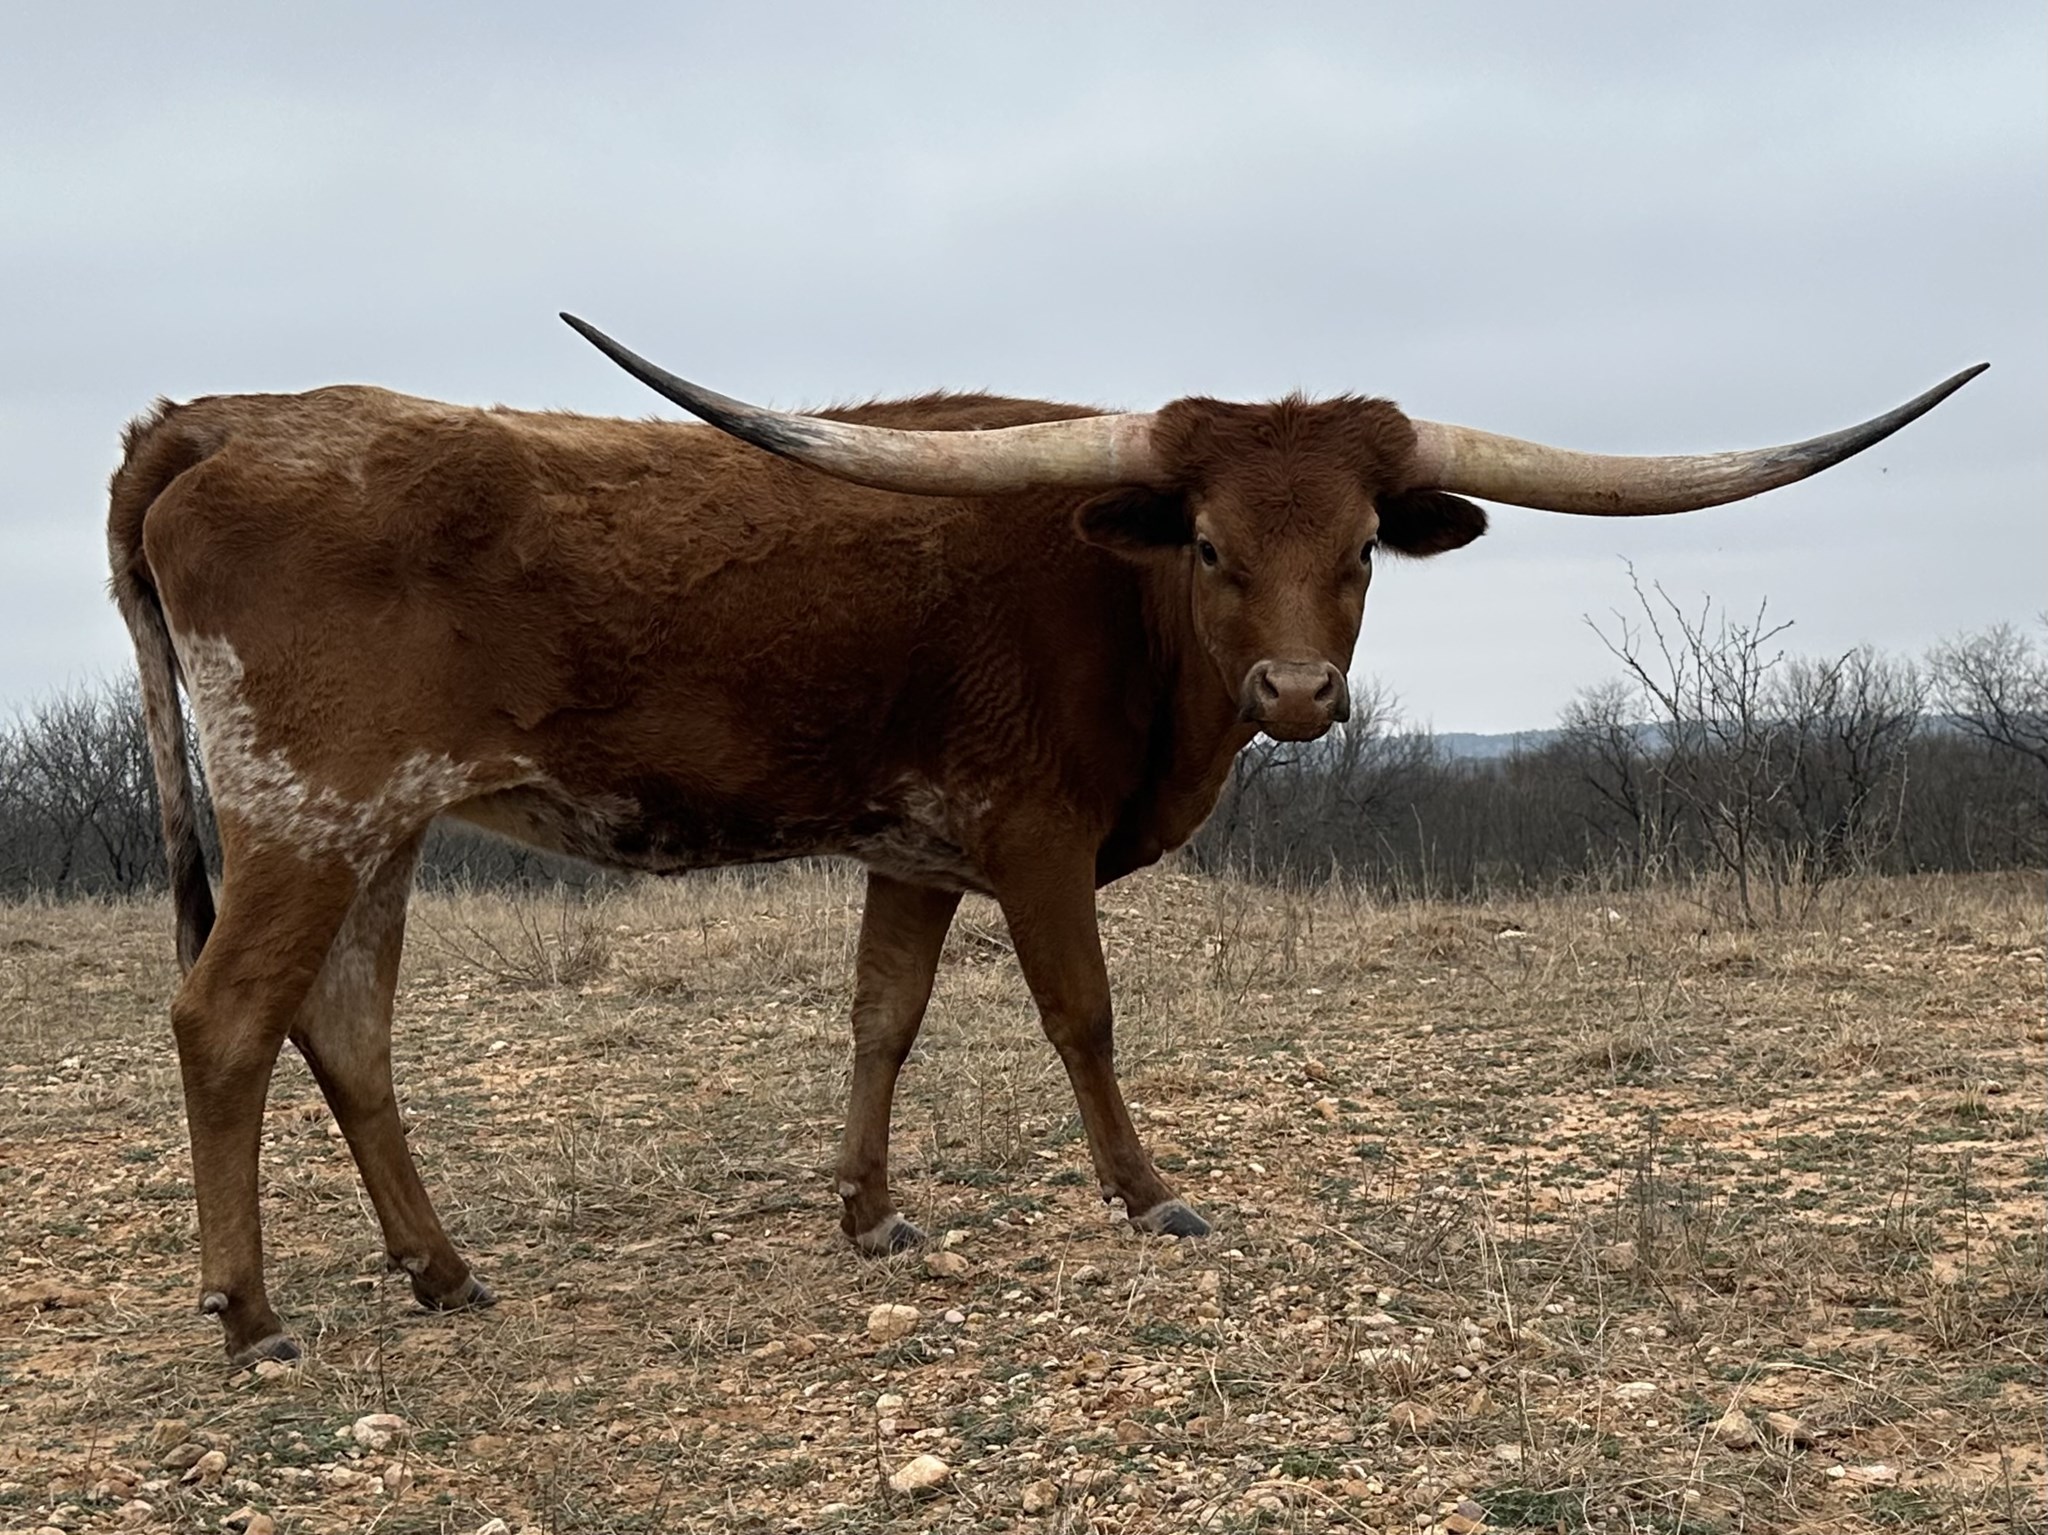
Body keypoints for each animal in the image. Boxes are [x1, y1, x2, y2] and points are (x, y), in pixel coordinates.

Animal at [107, 317, 1982, 1365]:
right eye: (1211, 544)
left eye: (1361, 550)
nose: (1298, 692)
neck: (1120, 602)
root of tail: (217, 416)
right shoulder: (1031, 836)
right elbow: (1081, 1014)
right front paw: (1146, 1195)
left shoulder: (913, 851)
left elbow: (881, 1017)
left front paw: (867, 1215)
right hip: (306, 809)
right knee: (225, 1016)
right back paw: (253, 1317)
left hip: (381, 829)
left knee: (345, 1025)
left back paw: (439, 1272)